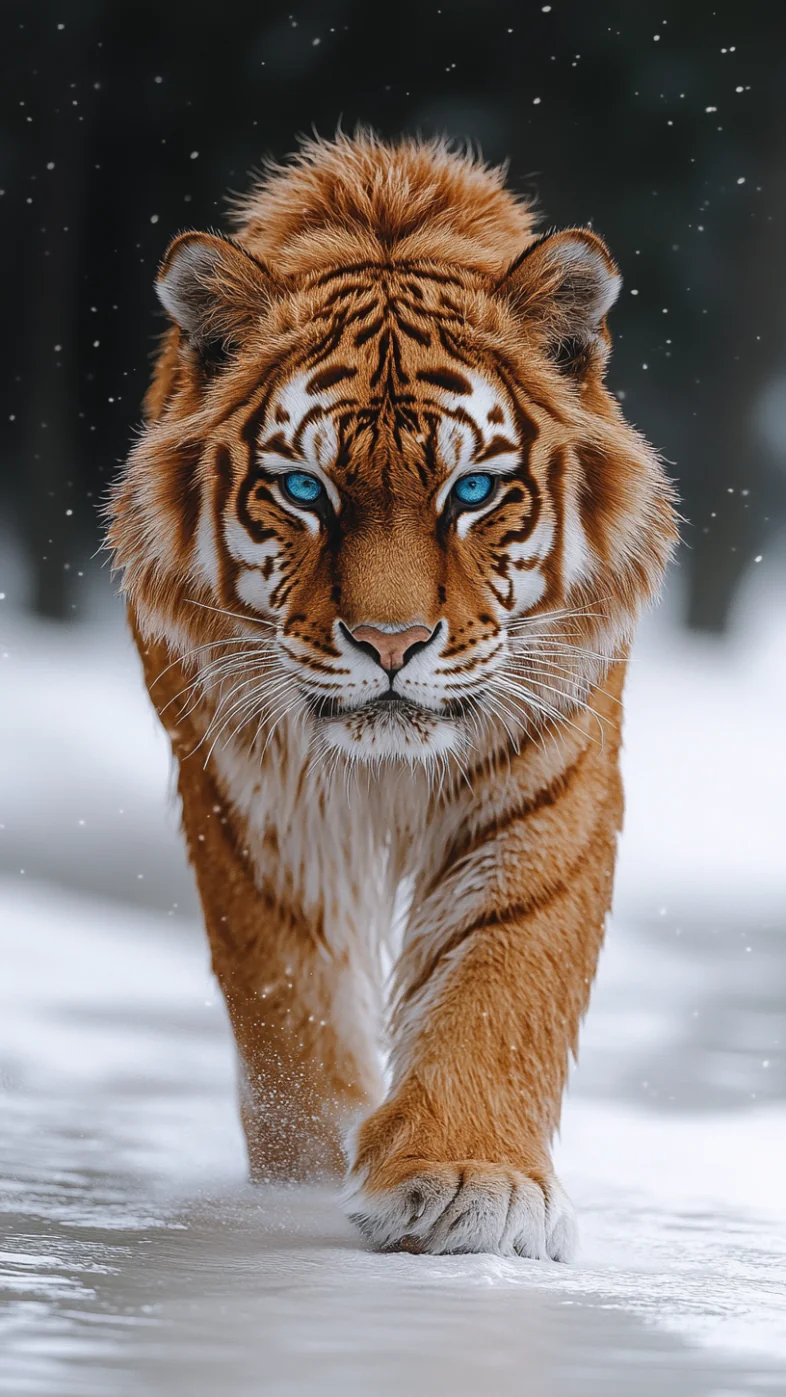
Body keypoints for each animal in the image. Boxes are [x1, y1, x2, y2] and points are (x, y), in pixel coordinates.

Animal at [108, 132, 677, 1260]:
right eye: (304, 489)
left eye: (472, 491)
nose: (390, 641)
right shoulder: (254, 798)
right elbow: (289, 996)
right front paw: (298, 1180)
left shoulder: (544, 775)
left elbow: (500, 969)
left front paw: (467, 1181)